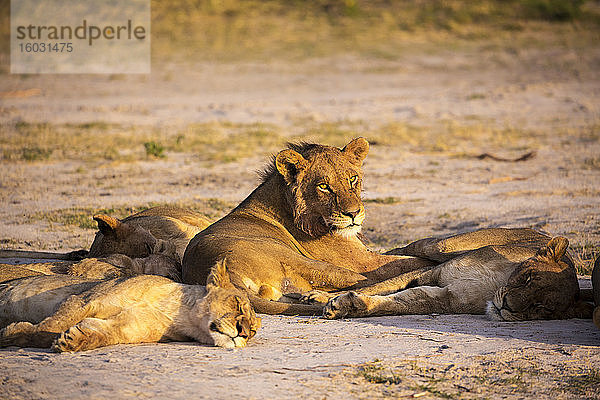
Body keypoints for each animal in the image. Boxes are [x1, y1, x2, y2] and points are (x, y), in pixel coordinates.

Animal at [1, 260, 262, 352]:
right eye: (237, 304)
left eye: (253, 331)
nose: (243, 333)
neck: (180, 314)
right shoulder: (85, 300)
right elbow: (50, 326)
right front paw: (10, 334)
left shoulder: (126, 328)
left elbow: (101, 334)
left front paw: (73, 341)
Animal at [180, 138, 434, 316]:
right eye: (323, 186)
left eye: (352, 179)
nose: (353, 214)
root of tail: (213, 273)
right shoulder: (362, 261)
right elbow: (405, 263)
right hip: (313, 264)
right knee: (366, 282)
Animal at [322, 234, 592, 322]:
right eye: (527, 278)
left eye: (541, 308)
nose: (506, 306)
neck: (495, 284)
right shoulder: (434, 272)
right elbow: (382, 284)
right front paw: (322, 297)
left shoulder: (444, 299)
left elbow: (399, 302)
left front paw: (347, 305)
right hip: (443, 245)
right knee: (403, 252)